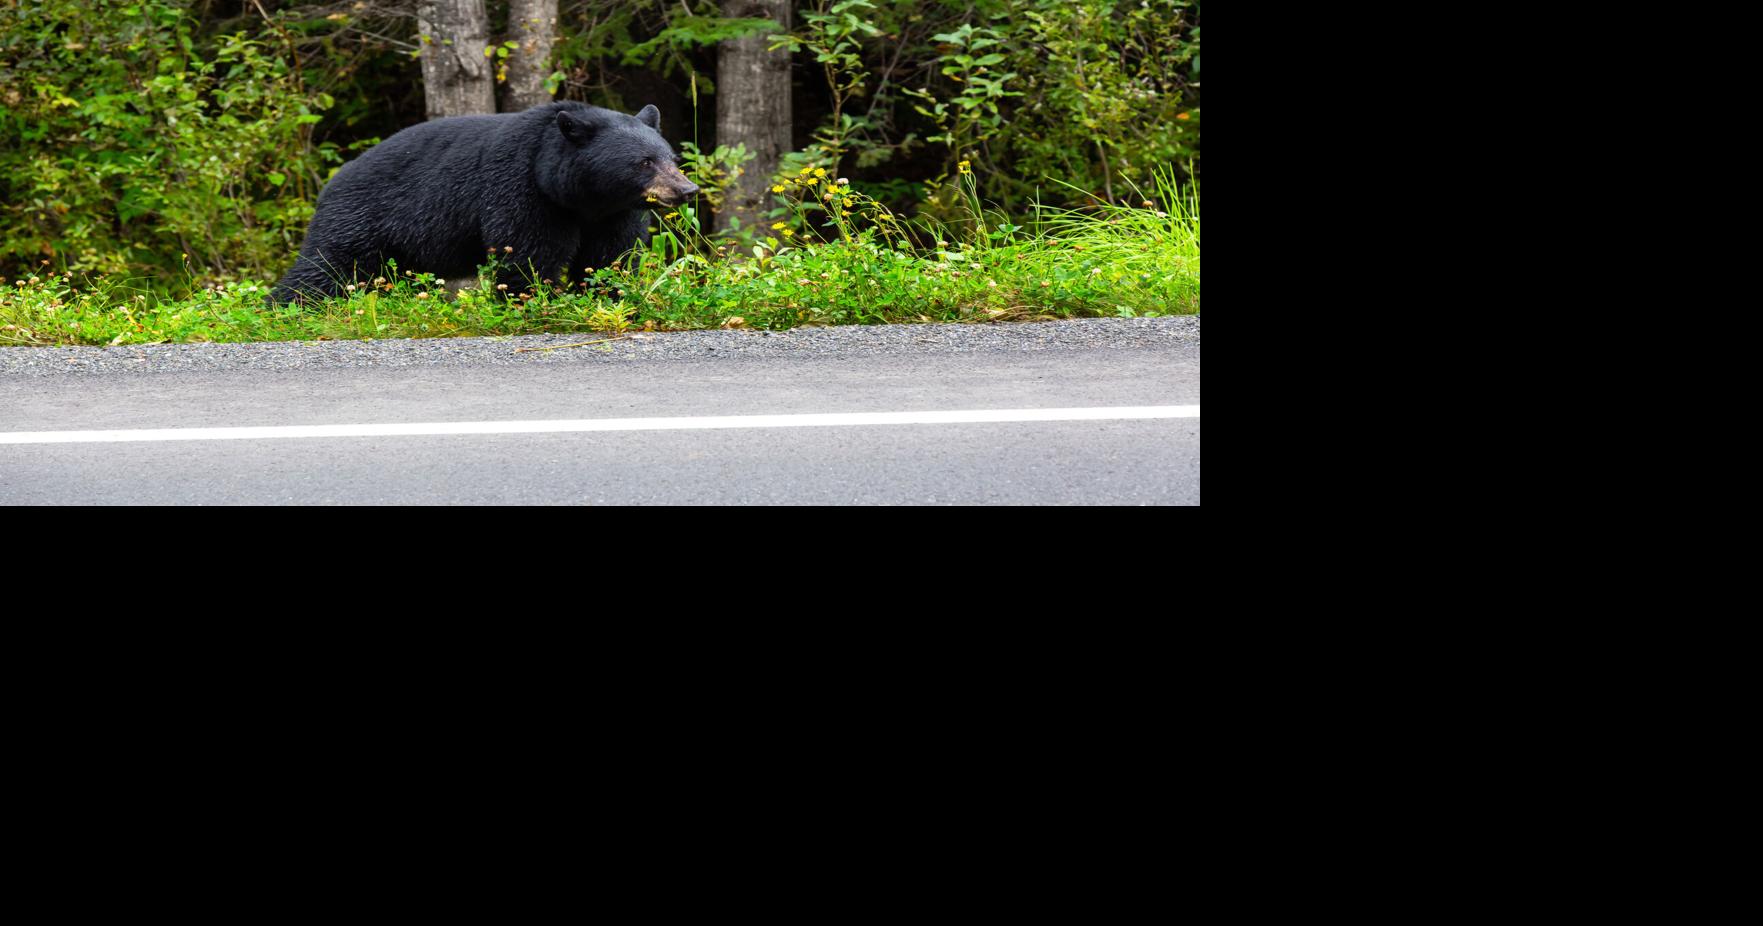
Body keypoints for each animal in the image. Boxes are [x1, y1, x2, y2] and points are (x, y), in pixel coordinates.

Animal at [270, 102, 698, 304]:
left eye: (671, 157)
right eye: (644, 161)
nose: (687, 190)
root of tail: (333, 182)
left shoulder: (615, 212)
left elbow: (610, 256)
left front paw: (607, 295)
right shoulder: (521, 190)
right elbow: (528, 251)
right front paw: (532, 301)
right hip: (359, 220)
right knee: (324, 269)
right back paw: (285, 308)